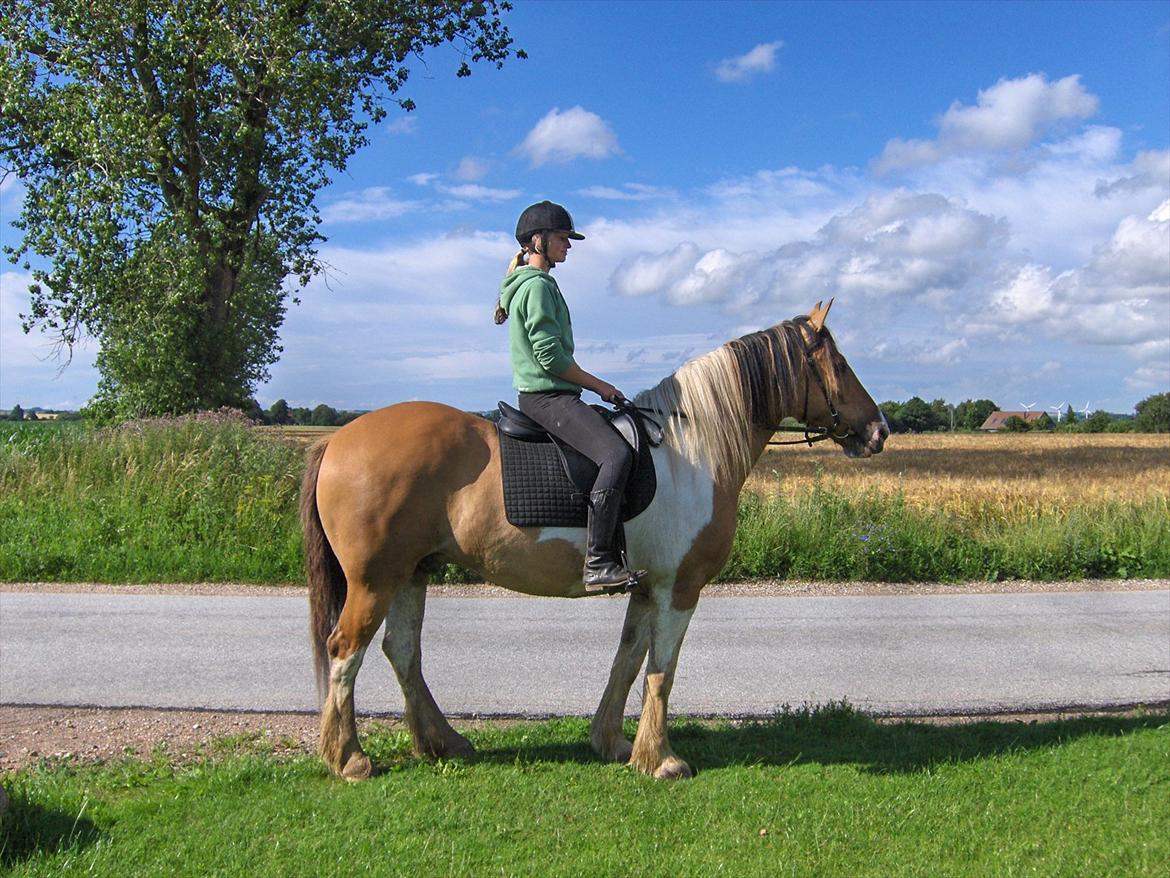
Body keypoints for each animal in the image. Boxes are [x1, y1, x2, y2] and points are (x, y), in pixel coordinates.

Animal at [299, 302, 884, 782]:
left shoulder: (647, 587)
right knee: (345, 649)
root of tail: (337, 440)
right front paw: (662, 760)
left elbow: (628, 660)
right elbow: (662, 670)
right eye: (839, 364)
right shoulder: (680, 588)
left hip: (411, 572)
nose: (879, 430)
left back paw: (442, 743)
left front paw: (615, 744)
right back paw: (349, 759)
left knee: (402, 651)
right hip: (374, 578)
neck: (689, 453)